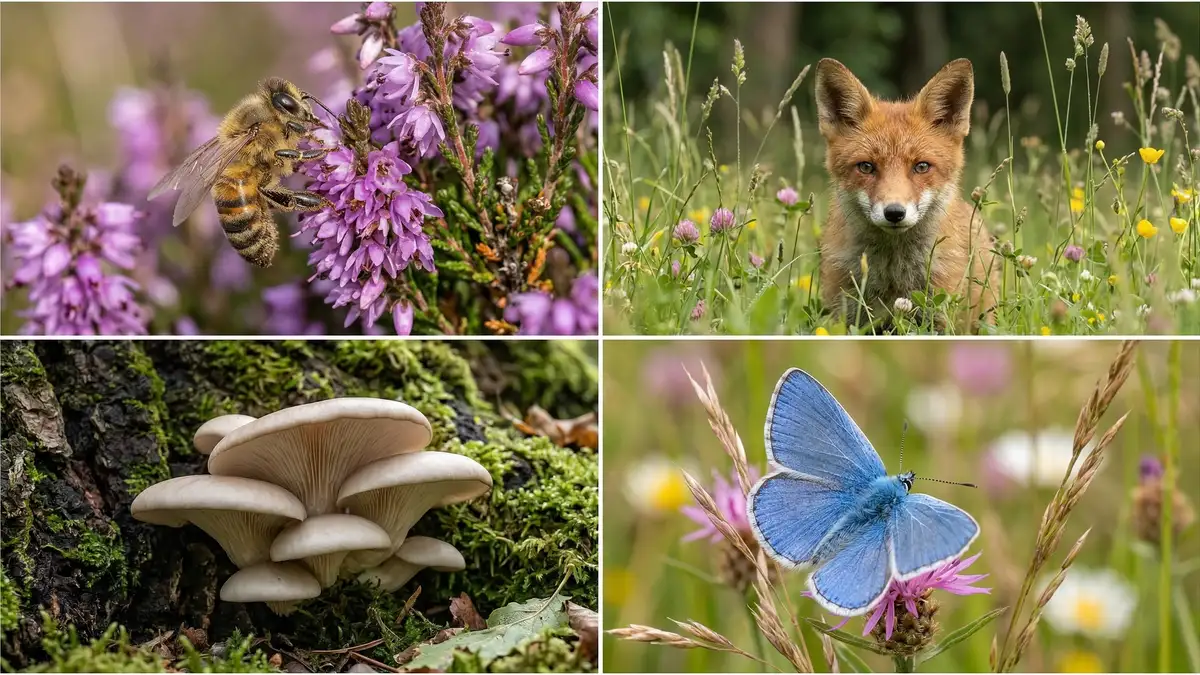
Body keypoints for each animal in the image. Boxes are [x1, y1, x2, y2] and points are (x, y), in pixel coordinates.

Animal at [815, 57, 999, 333]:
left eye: (921, 166)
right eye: (866, 167)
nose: (894, 213)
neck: (894, 275)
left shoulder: (942, 319)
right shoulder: (844, 316)